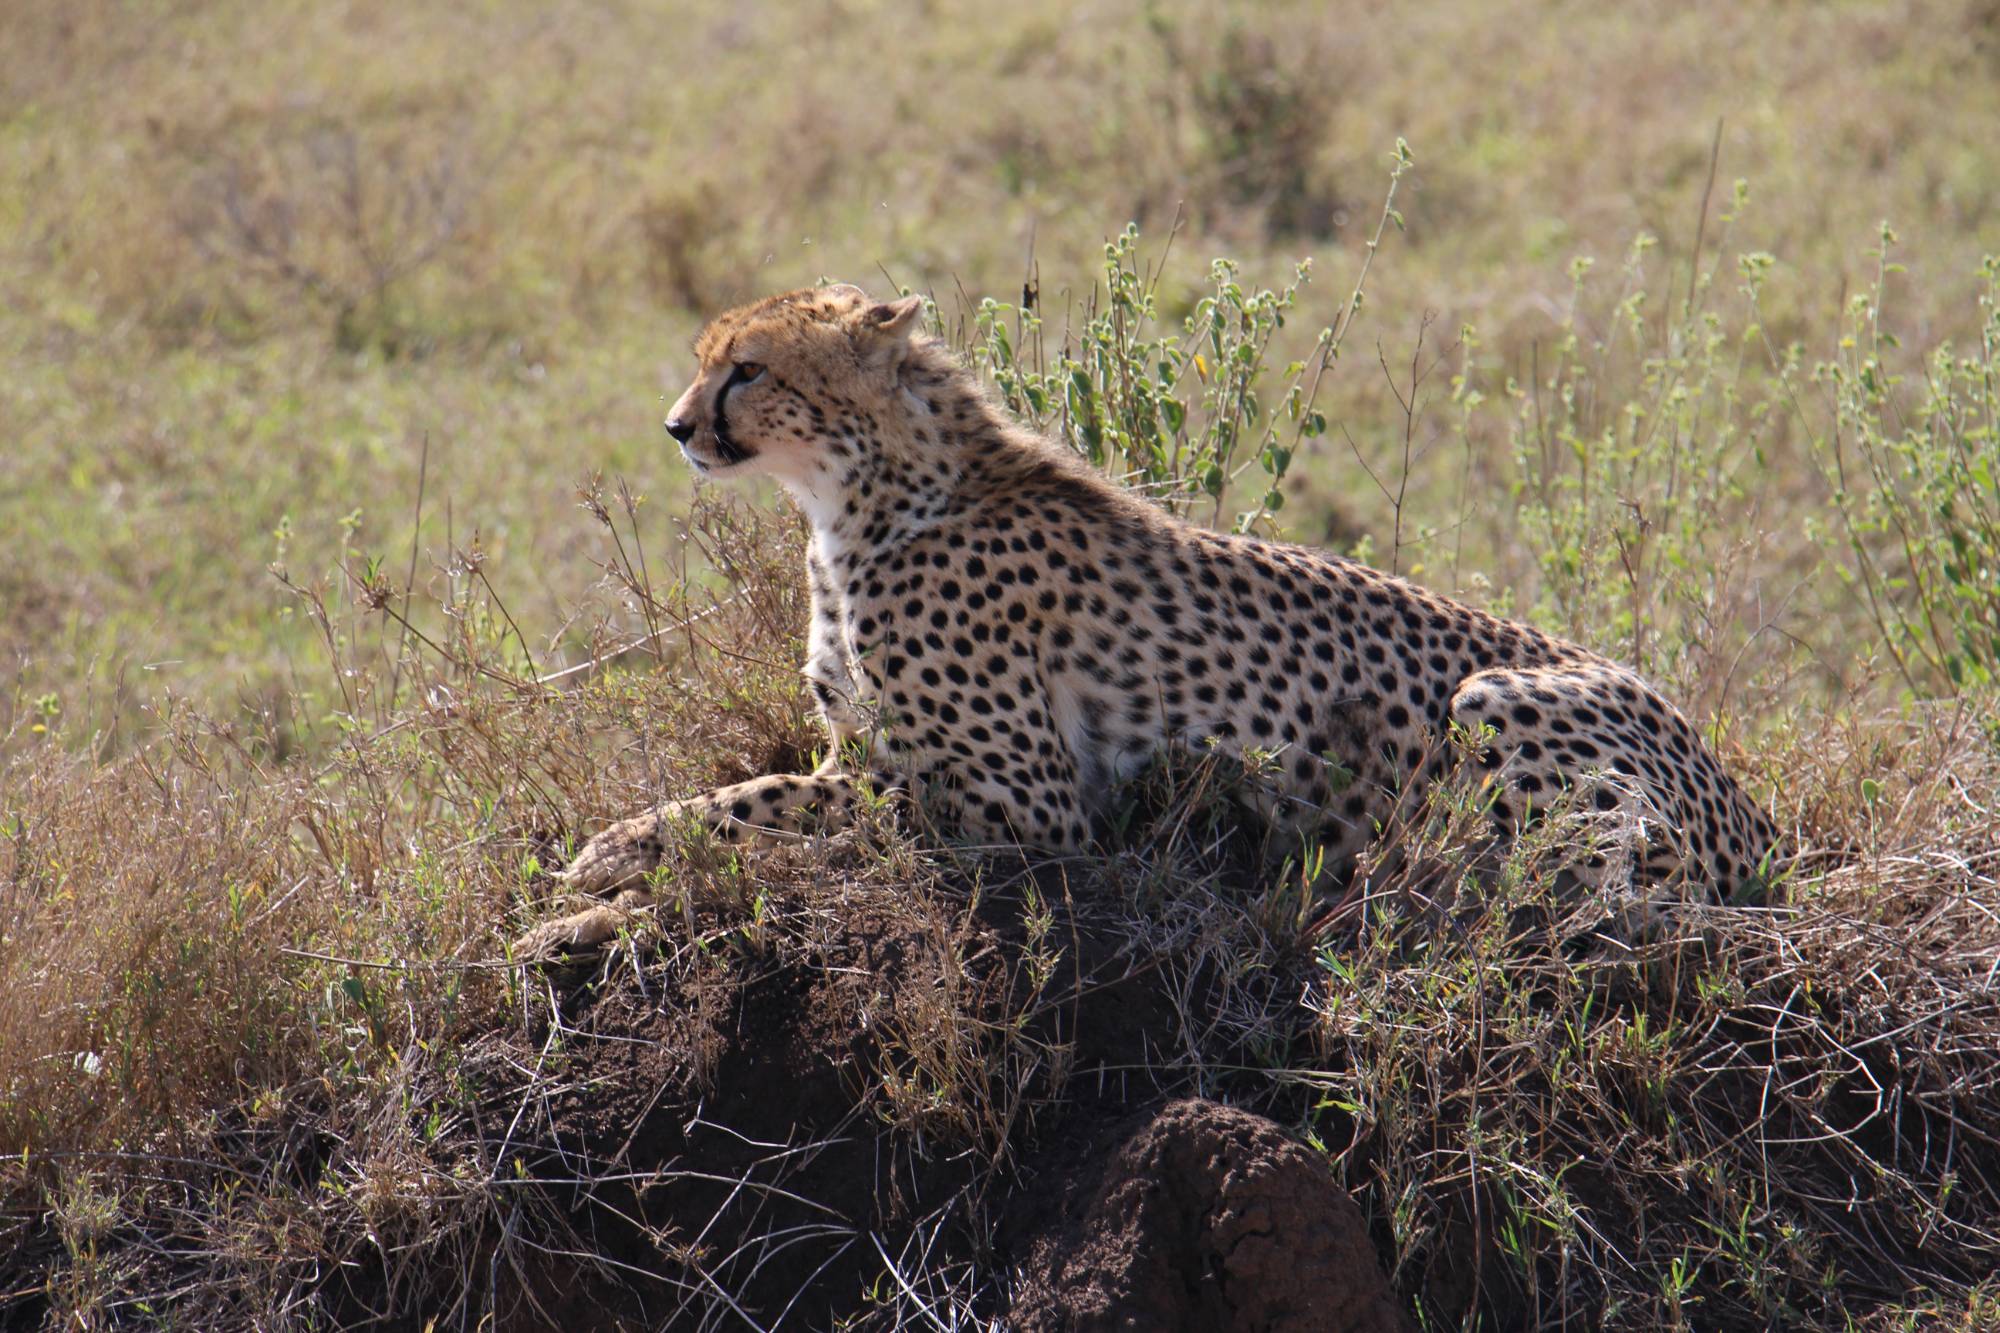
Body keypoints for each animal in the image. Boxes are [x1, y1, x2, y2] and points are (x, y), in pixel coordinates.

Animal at [514, 282, 1779, 959]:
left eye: (749, 369)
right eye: (707, 365)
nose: (676, 427)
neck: (857, 500)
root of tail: (1753, 813)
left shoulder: (1032, 811)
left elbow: (783, 825)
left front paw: (591, 897)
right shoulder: (861, 754)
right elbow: (757, 791)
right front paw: (610, 855)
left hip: (1496, 700)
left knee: (1605, 893)